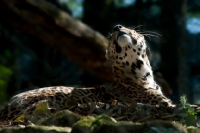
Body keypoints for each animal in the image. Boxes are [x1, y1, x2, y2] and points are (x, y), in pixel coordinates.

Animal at [0, 24, 173, 125]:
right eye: (110, 37)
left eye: (133, 29)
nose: (117, 26)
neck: (140, 70)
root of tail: (7, 107)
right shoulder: (165, 105)